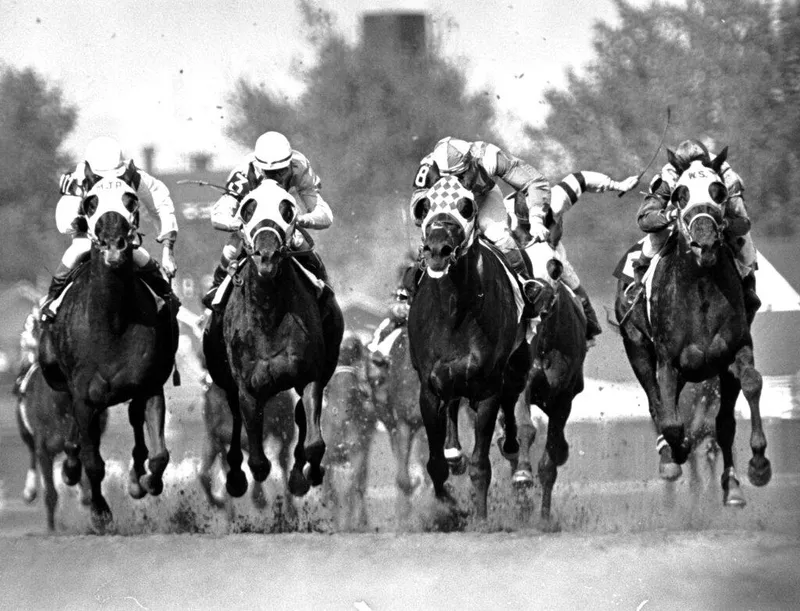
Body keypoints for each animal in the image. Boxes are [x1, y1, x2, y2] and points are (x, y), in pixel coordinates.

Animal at [38, 178, 178, 532]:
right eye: (91, 202)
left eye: (131, 199)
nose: (114, 245)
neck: (112, 320)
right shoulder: (83, 396)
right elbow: (93, 462)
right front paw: (101, 514)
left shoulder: (149, 386)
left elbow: (159, 453)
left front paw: (148, 482)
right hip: (59, 379)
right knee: (78, 442)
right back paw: (72, 466)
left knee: (136, 426)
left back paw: (136, 478)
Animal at [202, 180, 342, 502]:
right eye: (247, 209)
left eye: (287, 209)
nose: (266, 255)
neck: (268, 315)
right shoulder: (248, 389)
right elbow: (257, 459)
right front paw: (245, 477)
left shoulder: (311, 375)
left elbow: (313, 442)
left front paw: (308, 475)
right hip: (224, 380)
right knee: (235, 419)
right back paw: (235, 477)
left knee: (302, 419)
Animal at [406, 176, 552, 520]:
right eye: (426, 205)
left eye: (466, 206)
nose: (438, 251)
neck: (454, 311)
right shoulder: (429, 388)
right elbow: (435, 464)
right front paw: (449, 508)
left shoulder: (488, 388)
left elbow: (481, 465)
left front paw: (481, 517)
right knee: (453, 410)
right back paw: (453, 451)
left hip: (518, 365)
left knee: (512, 403)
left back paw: (512, 449)